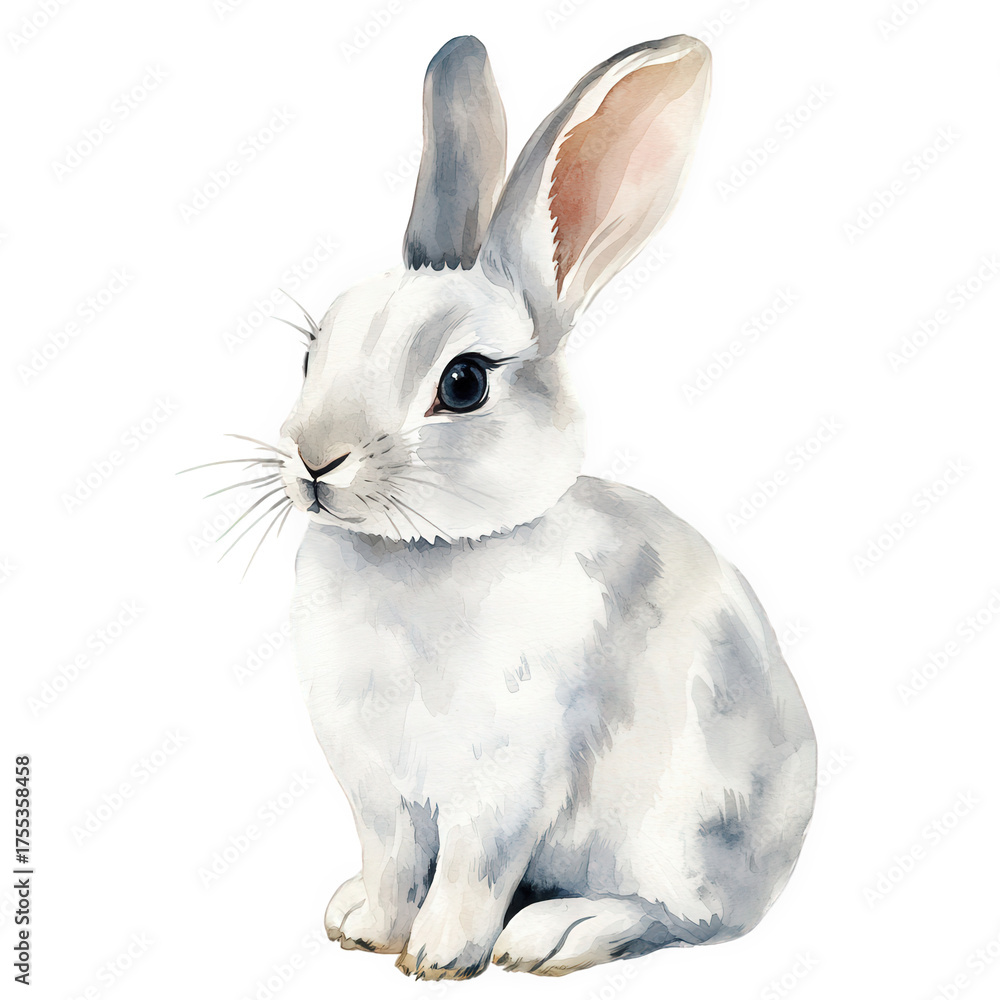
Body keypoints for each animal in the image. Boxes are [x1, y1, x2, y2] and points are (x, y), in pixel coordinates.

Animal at [273, 33, 817, 980]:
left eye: (463, 384)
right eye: (314, 352)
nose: (314, 460)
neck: (420, 550)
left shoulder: (506, 780)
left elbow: (473, 869)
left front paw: (439, 956)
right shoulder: (377, 790)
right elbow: (389, 860)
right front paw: (370, 930)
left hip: (675, 826)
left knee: (683, 917)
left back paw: (553, 931)